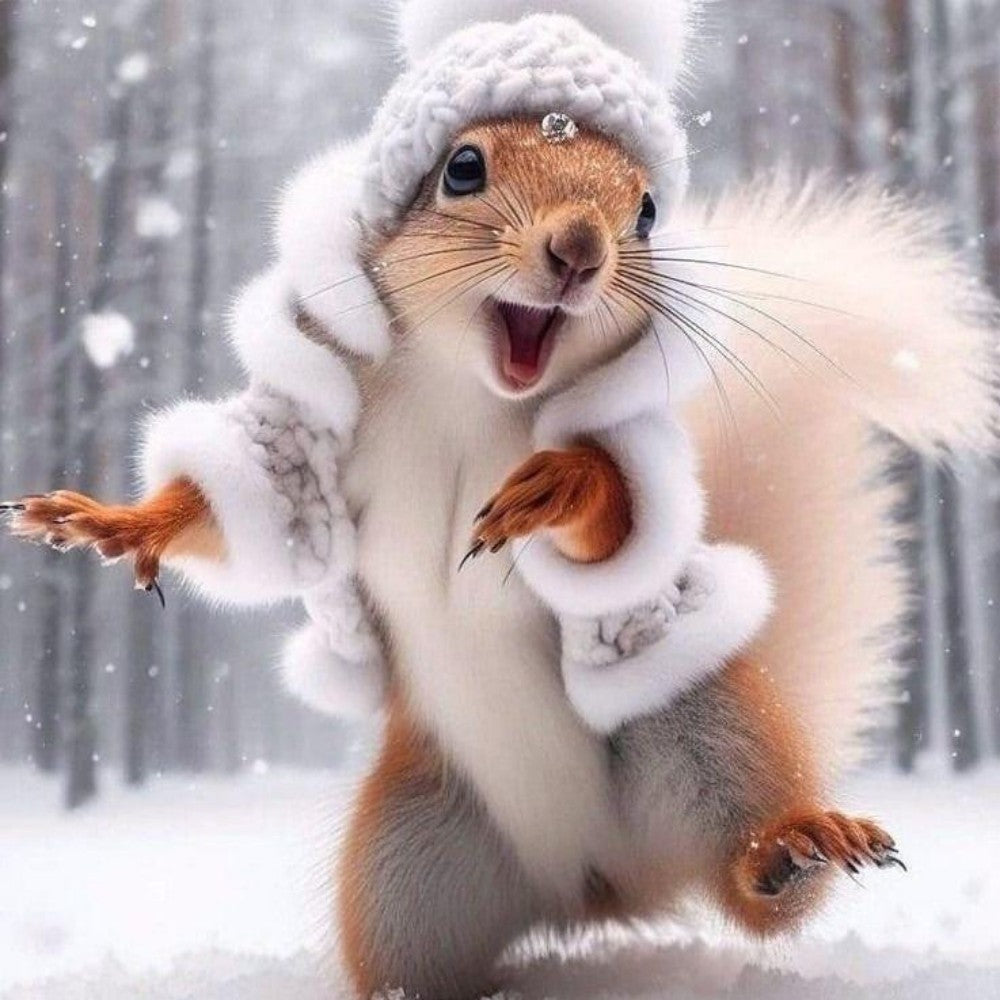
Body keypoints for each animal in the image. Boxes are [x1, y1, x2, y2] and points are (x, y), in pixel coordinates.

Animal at [3, 2, 997, 998]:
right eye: (463, 168)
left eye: (646, 209)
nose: (579, 248)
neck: (470, 391)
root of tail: (595, 891)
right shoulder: (317, 421)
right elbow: (265, 497)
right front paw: (113, 521)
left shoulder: (624, 438)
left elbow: (622, 503)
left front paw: (560, 485)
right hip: (405, 867)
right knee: (417, 956)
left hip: (705, 727)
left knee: (754, 877)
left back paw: (793, 846)